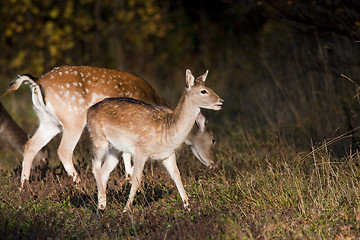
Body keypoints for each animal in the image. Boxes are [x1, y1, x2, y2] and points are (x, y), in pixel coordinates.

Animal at [4, 65, 217, 188]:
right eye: (213, 140)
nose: (214, 164)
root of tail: (36, 82)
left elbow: (125, 153)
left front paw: (127, 176)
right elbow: (129, 153)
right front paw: (129, 178)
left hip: (49, 121)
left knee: (30, 145)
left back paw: (24, 186)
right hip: (73, 118)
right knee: (63, 150)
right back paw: (80, 184)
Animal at [87, 69, 222, 212]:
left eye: (210, 87)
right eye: (203, 91)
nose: (221, 101)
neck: (168, 132)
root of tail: (89, 111)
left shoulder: (168, 154)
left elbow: (177, 175)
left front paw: (188, 206)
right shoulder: (140, 150)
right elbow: (136, 179)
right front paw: (126, 209)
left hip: (115, 149)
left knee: (104, 171)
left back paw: (100, 207)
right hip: (98, 138)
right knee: (95, 165)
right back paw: (102, 206)